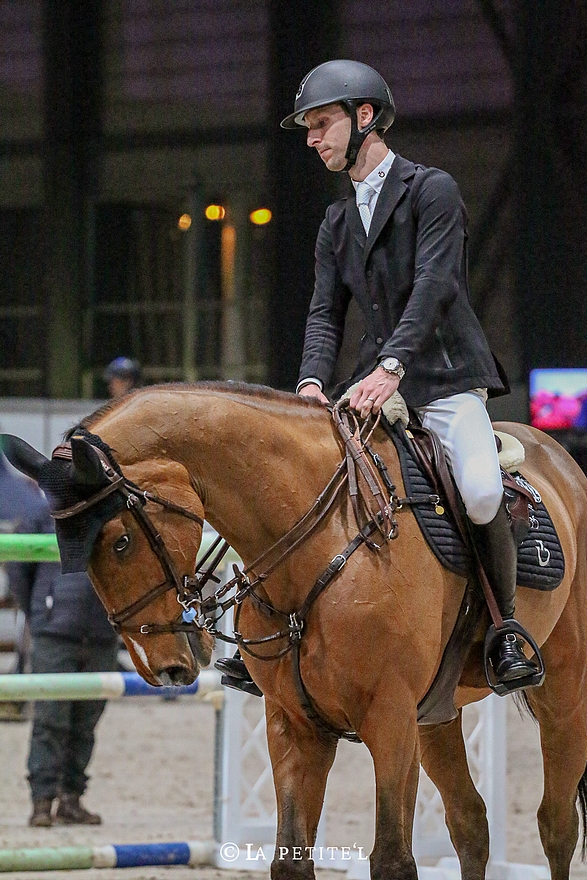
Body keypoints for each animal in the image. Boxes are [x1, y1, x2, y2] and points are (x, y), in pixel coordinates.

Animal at [3, 380, 587, 880]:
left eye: (121, 541)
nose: (160, 667)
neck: (322, 539)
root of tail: (562, 460)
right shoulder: (293, 723)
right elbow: (289, 857)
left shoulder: (389, 718)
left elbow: (393, 858)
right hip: (437, 713)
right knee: (470, 823)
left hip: (562, 696)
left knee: (557, 825)